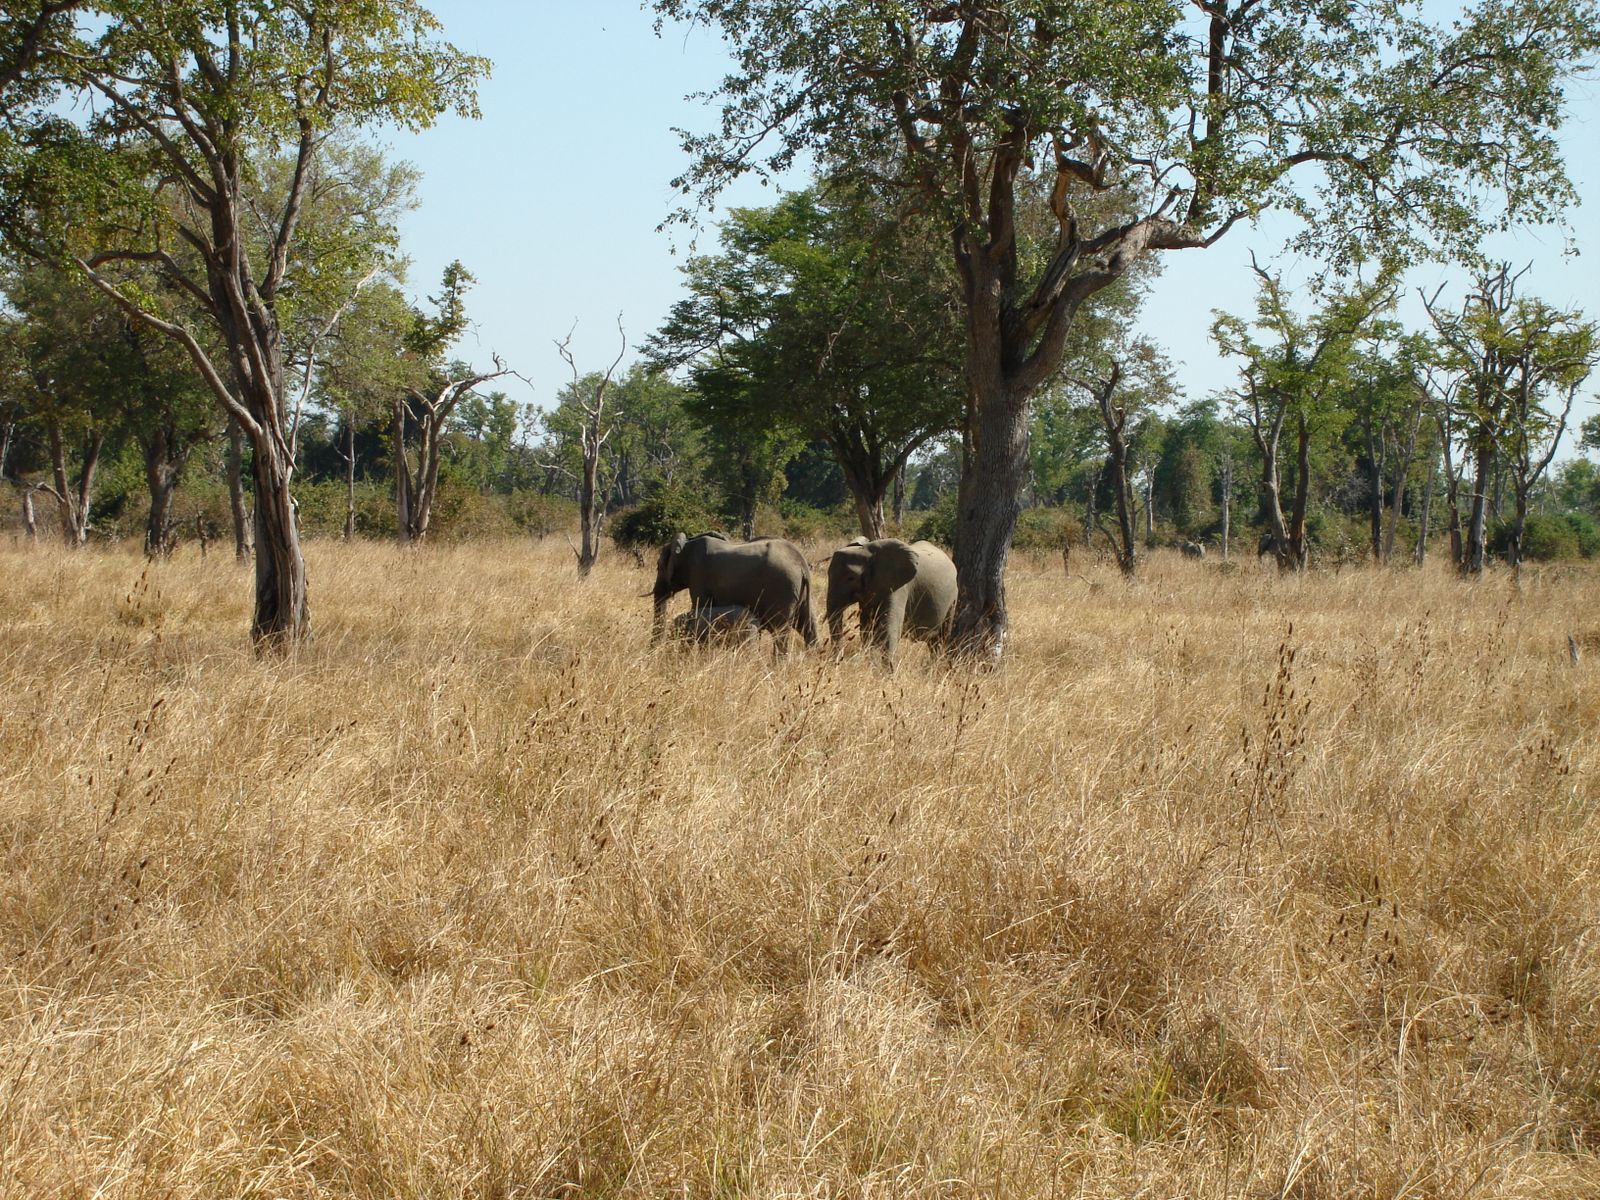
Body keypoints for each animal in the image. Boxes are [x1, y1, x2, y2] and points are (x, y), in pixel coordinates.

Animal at [652, 534, 819, 649]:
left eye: (658, 566)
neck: (686, 544)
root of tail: (802, 564)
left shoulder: (698, 576)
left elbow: (700, 606)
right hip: (801, 593)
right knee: (808, 627)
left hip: (782, 589)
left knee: (780, 633)